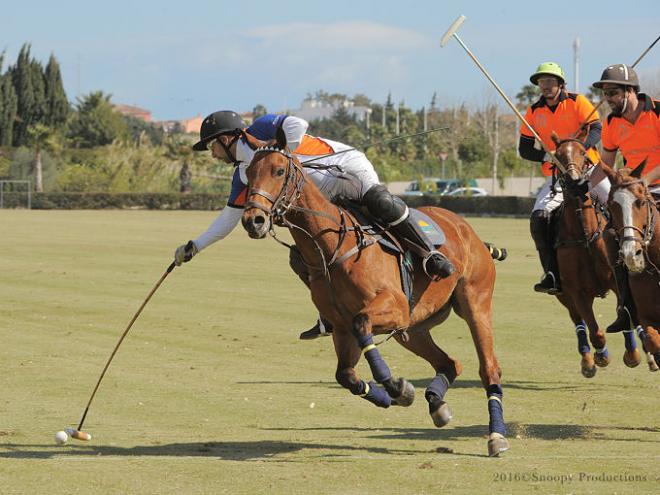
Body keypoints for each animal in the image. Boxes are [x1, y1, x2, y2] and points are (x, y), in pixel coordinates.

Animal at [242, 133, 510, 458]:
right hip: (412, 328)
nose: (253, 220)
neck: (332, 248)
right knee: (449, 363)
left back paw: (496, 436)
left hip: (474, 304)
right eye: (248, 173)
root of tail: (470, 232)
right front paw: (398, 393)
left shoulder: (392, 307)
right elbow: (345, 375)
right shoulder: (342, 328)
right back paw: (437, 405)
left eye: (279, 171)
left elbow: (362, 324)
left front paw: (394, 384)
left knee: (490, 369)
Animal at [552, 134, 640, 378]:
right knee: (579, 323)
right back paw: (587, 361)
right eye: (558, 155)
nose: (575, 181)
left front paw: (633, 355)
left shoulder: (617, 282)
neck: (584, 233)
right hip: (564, 295)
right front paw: (600, 356)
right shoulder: (576, 291)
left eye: (582, 152)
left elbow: (626, 316)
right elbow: (595, 332)